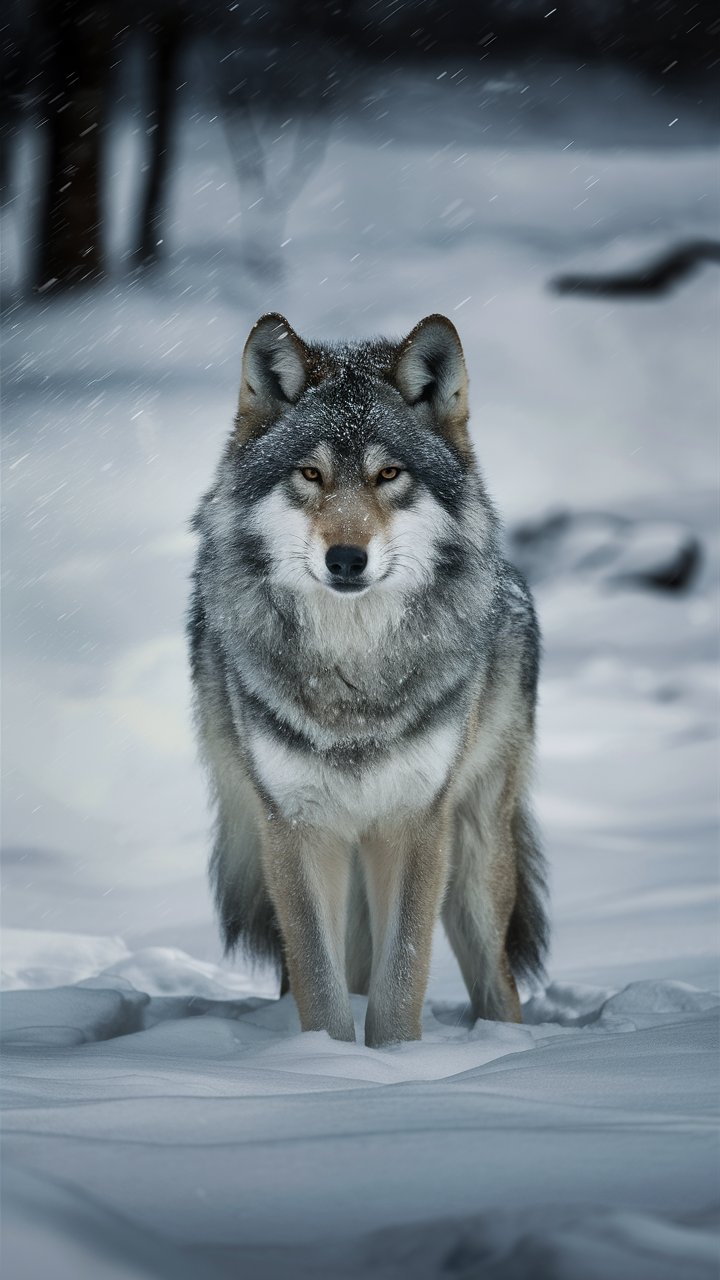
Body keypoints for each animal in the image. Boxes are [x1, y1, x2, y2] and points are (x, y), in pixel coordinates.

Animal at [189, 312, 547, 1047]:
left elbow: (401, 979)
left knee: (498, 984)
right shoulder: (294, 830)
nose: (347, 558)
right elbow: (322, 988)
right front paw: (330, 1062)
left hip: (475, 864)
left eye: (388, 474)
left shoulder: (417, 824)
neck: (352, 680)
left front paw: (394, 1061)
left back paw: (508, 1047)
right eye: (310, 473)